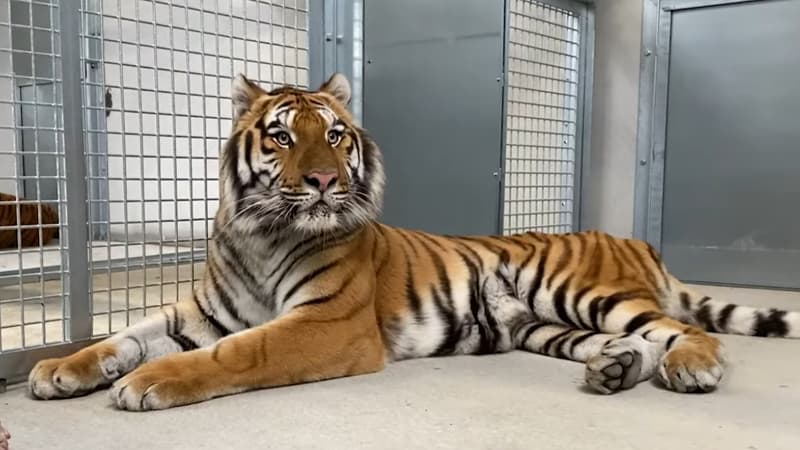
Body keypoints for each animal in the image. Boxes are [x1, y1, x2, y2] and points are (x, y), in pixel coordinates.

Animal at [28, 73, 800, 410]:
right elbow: (124, 334)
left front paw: (145, 382)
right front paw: (60, 368)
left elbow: (240, 352)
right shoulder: (200, 313)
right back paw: (614, 370)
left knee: (680, 329)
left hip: (580, 290)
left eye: (335, 134)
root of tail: (638, 243)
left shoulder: (325, 325)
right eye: (282, 136)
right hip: (543, 324)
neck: (261, 236)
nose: (322, 180)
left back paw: (692, 367)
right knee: (628, 343)